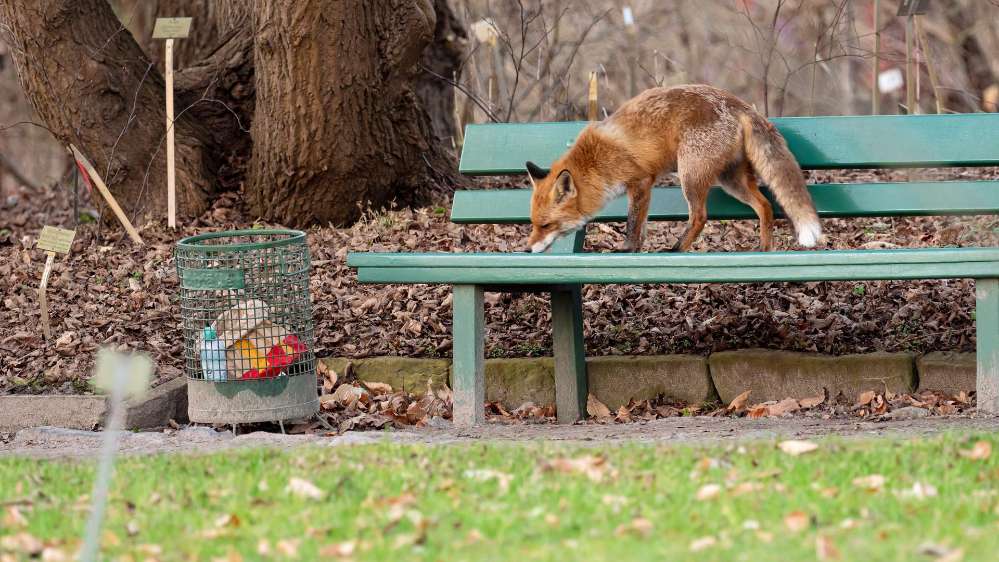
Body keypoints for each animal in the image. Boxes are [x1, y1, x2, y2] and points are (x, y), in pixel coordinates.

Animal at [528, 84, 824, 253]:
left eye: (546, 225)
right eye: (532, 224)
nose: (527, 249)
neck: (593, 163)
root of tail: (740, 105)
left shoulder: (640, 181)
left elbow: (632, 223)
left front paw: (626, 250)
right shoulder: (643, 188)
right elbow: (641, 224)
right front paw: (636, 249)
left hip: (690, 175)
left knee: (700, 217)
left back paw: (676, 249)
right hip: (731, 180)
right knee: (765, 205)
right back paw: (763, 248)